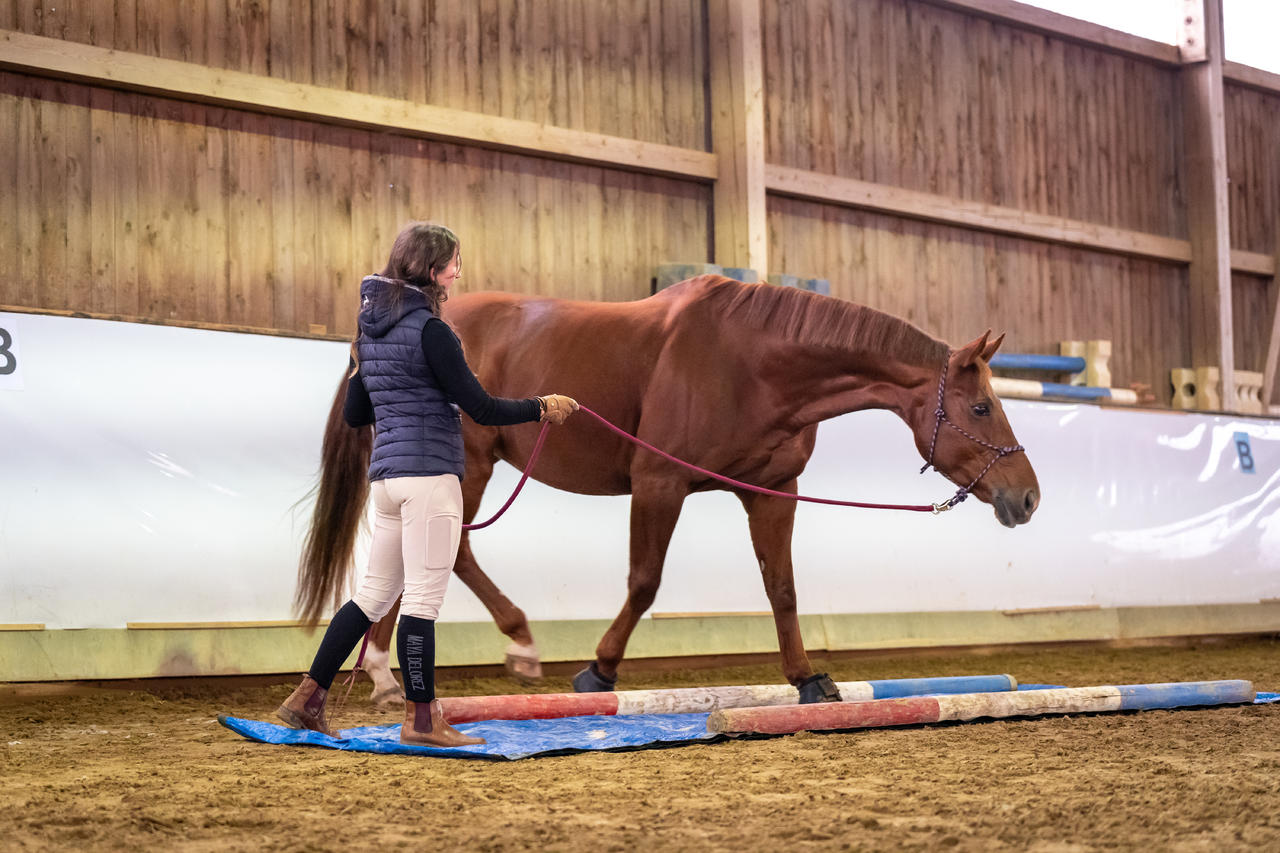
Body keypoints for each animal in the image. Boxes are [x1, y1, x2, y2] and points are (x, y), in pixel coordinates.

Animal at [299, 274, 1039, 701]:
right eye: (981, 408)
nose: (1028, 496)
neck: (756, 361)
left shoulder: (773, 491)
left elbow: (783, 587)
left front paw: (807, 678)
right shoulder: (659, 483)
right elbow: (645, 582)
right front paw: (599, 670)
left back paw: (386, 674)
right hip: (468, 468)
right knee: (450, 553)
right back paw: (508, 647)